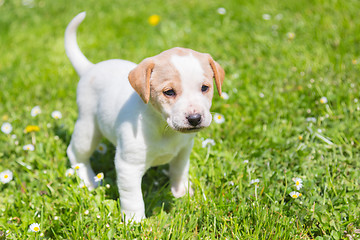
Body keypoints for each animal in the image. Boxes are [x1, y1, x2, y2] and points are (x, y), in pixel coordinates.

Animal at [63, 12, 224, 222]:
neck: (163, 128)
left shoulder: (183, 151)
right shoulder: (128, 166)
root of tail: (90, 68)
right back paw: (88, 180)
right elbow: (133, 198)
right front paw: (134, 222)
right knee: (76, 153)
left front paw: (181, 193)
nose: (195, 118)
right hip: (88, 128)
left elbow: (179, 171)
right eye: (169, 92)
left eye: (205, 88)